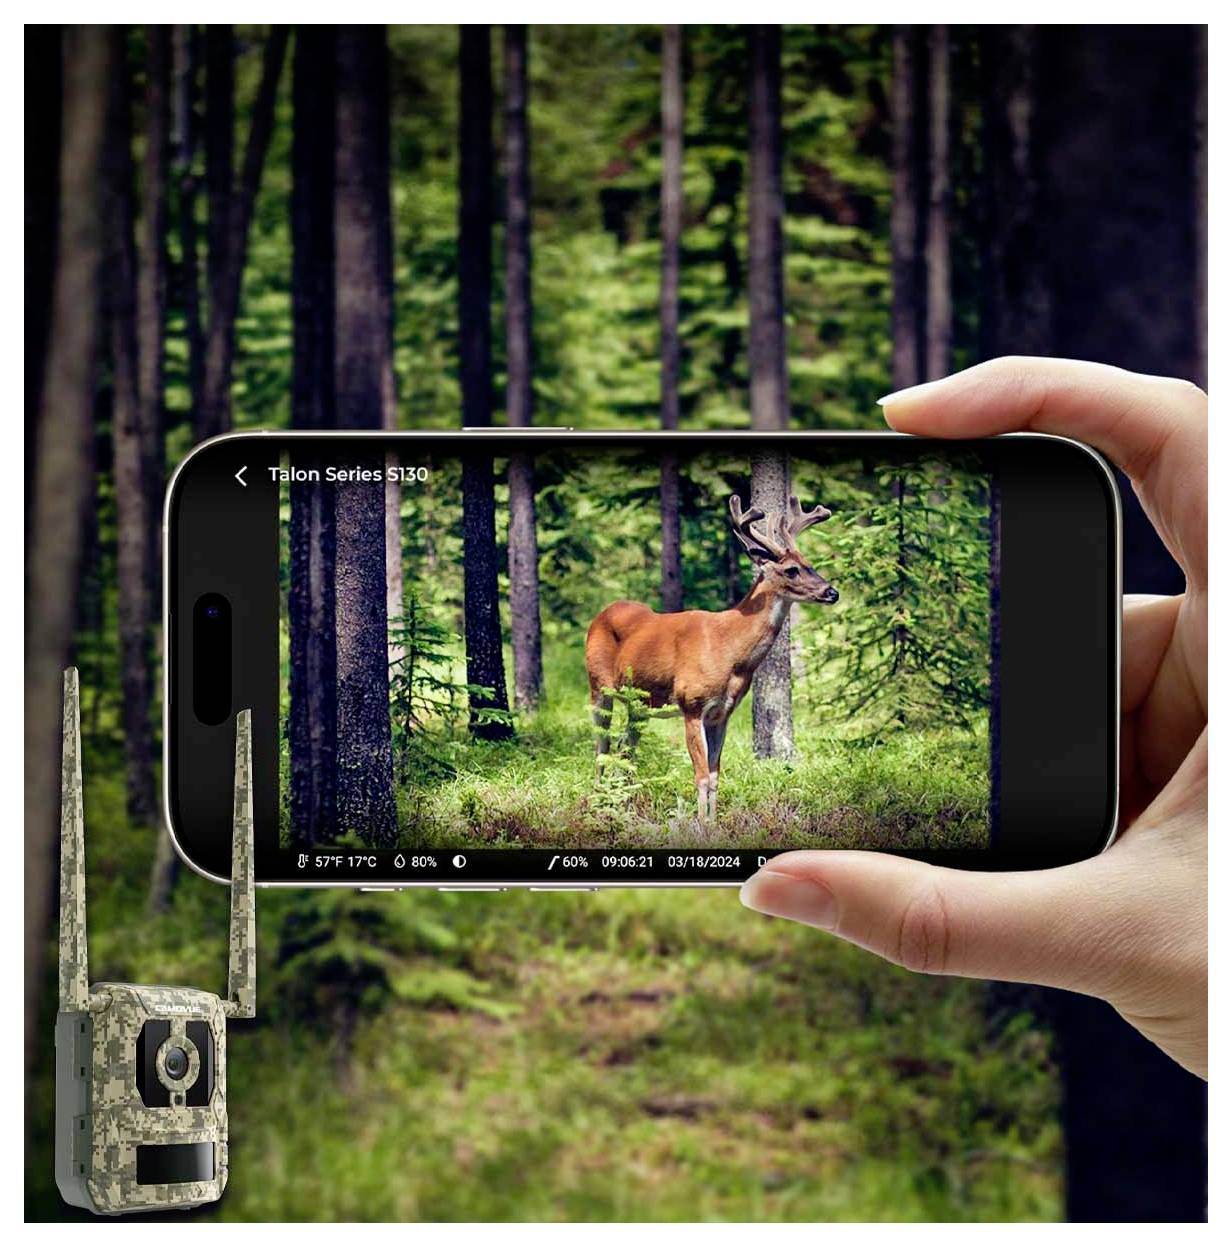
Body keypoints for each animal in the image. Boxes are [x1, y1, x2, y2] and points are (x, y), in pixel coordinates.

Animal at [586, 494, 838, 819]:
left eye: (811, 564)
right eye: (792, 569)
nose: (832, 592)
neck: (730, 650)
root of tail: (600, 614)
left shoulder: (722, 712)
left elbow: (716, 774)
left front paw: (714, 821)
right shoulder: (691, 703)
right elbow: (702, 775)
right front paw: (700, 823)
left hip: (638, 702)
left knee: (626, 747)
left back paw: (624, 805)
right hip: (597, 686)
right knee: (601, 746)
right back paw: (599, 804)